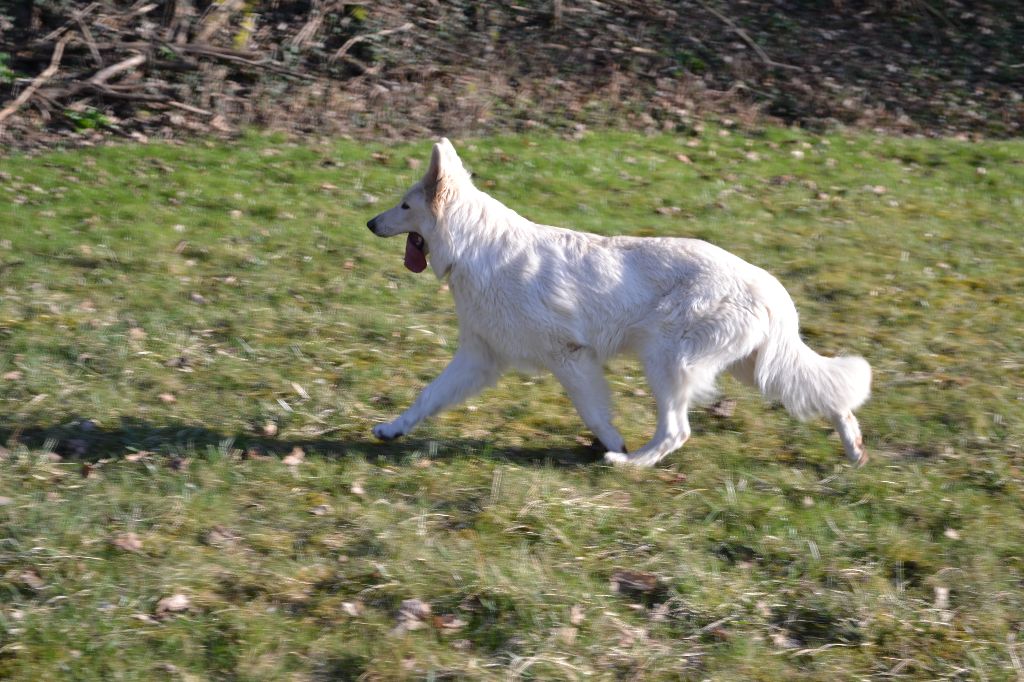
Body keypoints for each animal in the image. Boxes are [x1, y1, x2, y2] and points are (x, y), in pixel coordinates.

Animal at [364, 139, 868, 466]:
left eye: (405, 206)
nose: (369, 223)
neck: (474, 247)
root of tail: (767, 284)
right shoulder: (479, 357)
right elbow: (428, 396)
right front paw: (392, 429)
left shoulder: (570, 358)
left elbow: (593, 411)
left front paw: (613, 444)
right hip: (754, 368)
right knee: (830, 397)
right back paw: (854, 449)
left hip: (668, 363)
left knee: (677, 431)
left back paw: (631, 463)